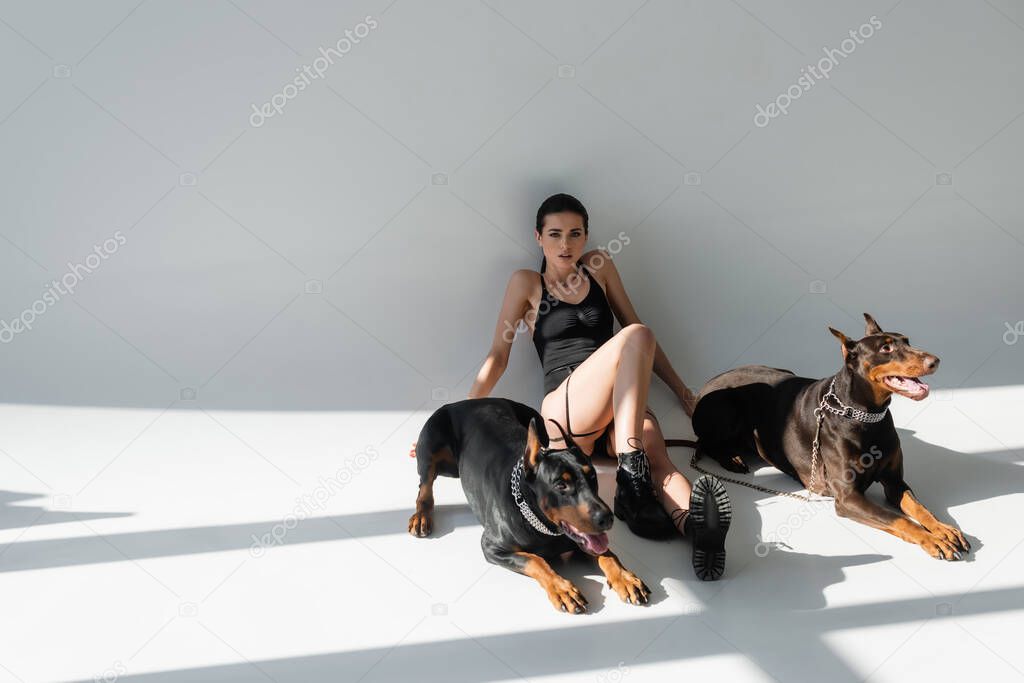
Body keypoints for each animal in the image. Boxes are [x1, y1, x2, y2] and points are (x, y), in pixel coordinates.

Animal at [405, 397, 647, 610]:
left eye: (593, 476)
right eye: (561, 485)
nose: (607, 518)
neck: (544, 527)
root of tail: (468, 401)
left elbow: (607, 554)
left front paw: (625, 578)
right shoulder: (492, 546)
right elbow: (536, 560)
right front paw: (562, 589)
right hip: (430, 444)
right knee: (424, 486)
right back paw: (421, 516)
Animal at [688, 315, 966, 561]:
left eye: (907, 341)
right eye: (885, 348)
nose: (935, 361)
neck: (865, 416)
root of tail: (703, 387)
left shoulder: (894, 482)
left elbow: (919, 508)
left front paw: (944, 530)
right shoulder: (848, 497)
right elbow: (899, 519)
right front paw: (931, 540)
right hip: (726, 404)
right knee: (705, 443)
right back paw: (732, 459)